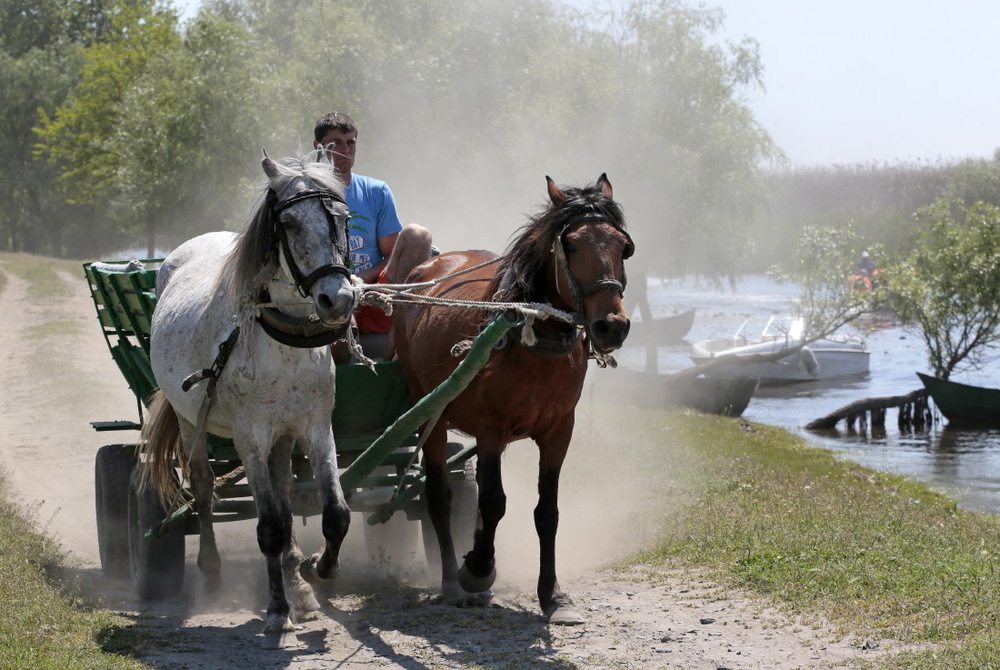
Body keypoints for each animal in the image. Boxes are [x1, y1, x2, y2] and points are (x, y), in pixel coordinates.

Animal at [141, 155, 360, 648]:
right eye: (290, 224)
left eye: (342, 219)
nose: (337, 299)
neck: (285, 344)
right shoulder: (250, 438)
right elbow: (270, 527)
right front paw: (277, 612)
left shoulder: (316, 428)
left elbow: (334, 514)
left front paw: (315, 570)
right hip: (191, 423)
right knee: (204, 490)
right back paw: (212, 574)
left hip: (283, 435)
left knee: (282, 489)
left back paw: (298, 584)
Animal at [392, 173, 632, 624]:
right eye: (571, 245)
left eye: (624, 246)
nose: (612, 325)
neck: (533, 336)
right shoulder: (492, 430)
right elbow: (493, 502)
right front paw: (477, 568)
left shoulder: (560, 431)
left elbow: (546, 512)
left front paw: (552, 595)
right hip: (428, 409)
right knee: (439, 497)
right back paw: (452, 581)